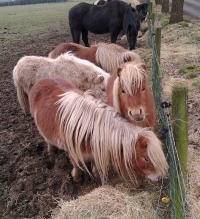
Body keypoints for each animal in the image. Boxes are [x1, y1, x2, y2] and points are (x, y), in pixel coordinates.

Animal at [28, 78, 169, 184]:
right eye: (146, 159)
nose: (158, 177)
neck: (90, 130)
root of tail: (42, 80)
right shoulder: (73, 152)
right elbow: (76, 164)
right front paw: (76, 178)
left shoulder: (95, 152)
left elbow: (95, 166)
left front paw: (96, 177)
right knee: (47, 140)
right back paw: (51, 150)